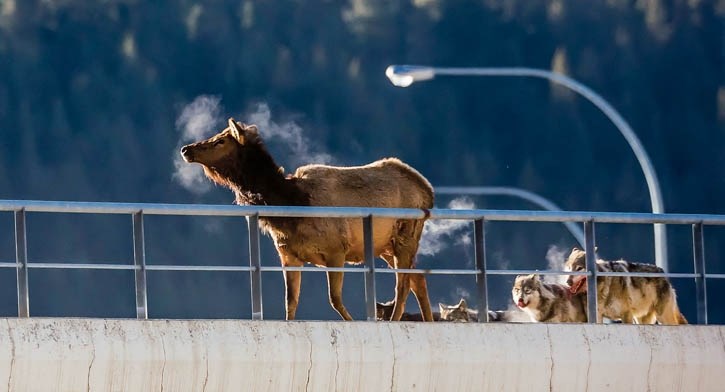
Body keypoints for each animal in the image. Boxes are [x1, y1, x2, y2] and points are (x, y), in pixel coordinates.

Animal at [178, 118, 432, 320]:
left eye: (220, 141)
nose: (186, 149)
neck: (290, 207)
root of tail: (427, 190)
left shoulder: (336, 250)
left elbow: (335, 299)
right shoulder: (289, 256)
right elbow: (290, 304)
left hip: (405, 237)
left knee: (403, 286)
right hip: (384, 246)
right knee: (418, 279)